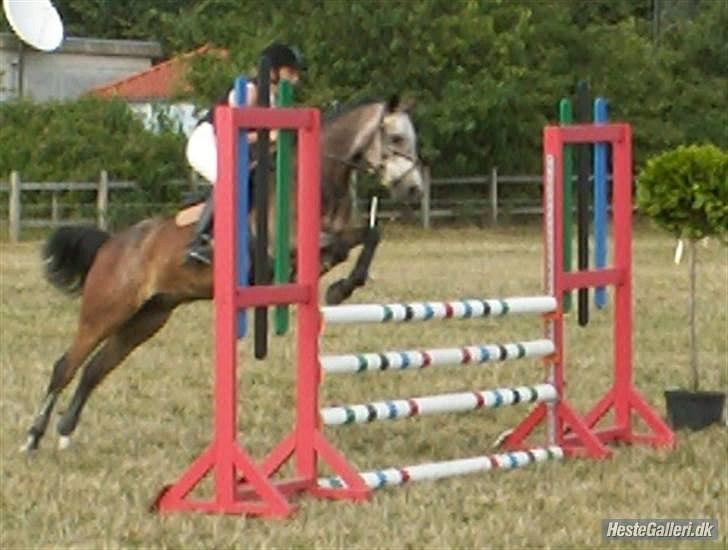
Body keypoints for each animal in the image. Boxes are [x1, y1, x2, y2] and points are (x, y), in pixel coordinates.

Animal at [20, 95, 423, 453]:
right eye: (396, 138)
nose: (414, 190)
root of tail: (111, 245)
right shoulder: (285, 250)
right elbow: (338, 244)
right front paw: (341, 287)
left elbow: (370, 234)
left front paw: (343, 287)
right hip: (107, 311)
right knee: (65, 366)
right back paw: (33, 437)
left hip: (147, 318)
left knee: (94, 369)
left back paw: (65, 431)